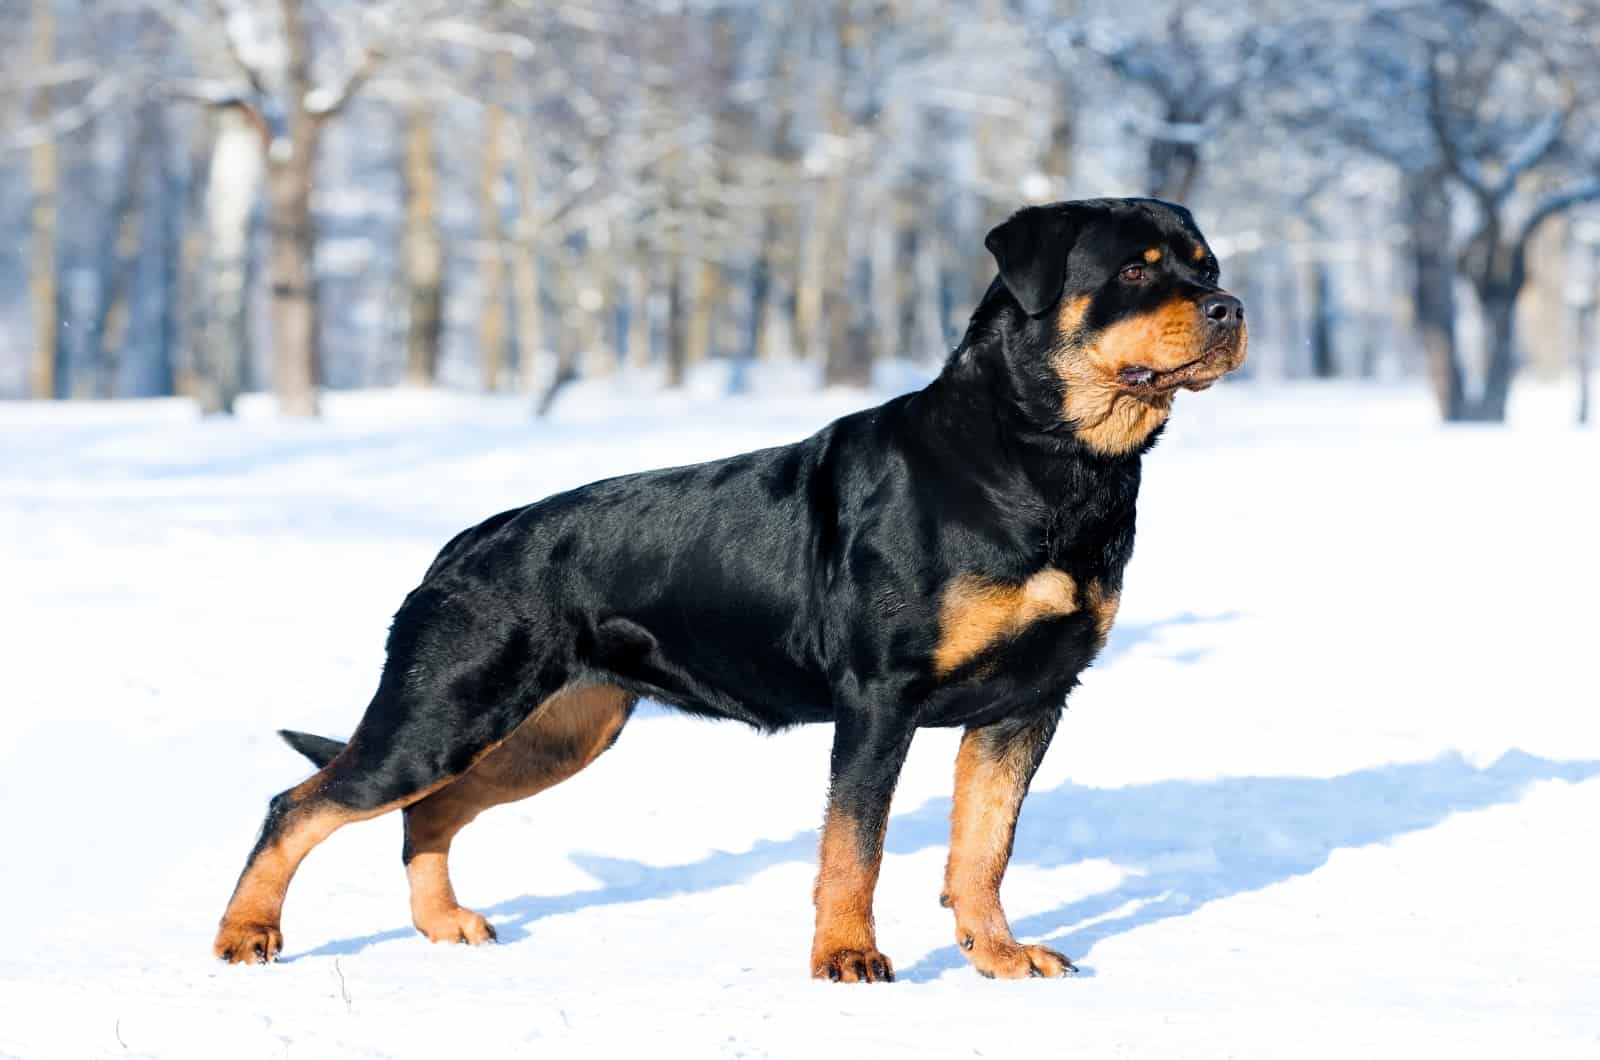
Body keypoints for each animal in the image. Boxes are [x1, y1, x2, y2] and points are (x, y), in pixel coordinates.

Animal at [216, 196, 1235, 979]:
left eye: (1205, 265)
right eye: (1137, 272)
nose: (1229, 306)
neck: (1045, 459)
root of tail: (459, 549)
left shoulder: (1030, 702)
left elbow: (983, 848)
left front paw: (998, 956)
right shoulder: (880, 698)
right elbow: (853, 847)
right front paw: (846, 959)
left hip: (554, 729)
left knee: (428, 810)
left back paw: (442, 925)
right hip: (445, 713)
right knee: (303, 805)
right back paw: (247, 934)